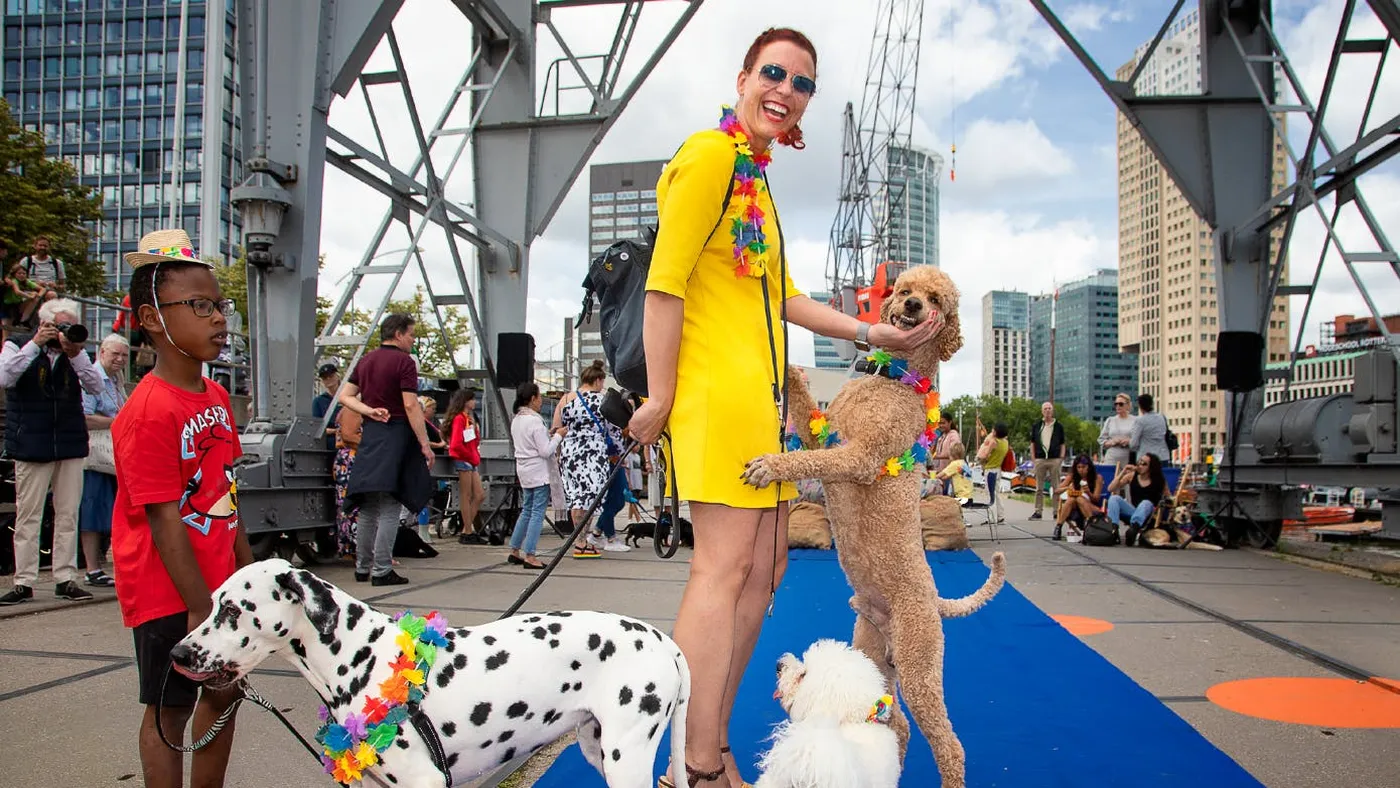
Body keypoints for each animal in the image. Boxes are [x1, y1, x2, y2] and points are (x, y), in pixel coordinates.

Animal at [168, 559, 688, 788]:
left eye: (233, 610)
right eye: (213, 603)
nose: (179, 653)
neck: (359, 656)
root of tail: (663, 640)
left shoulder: (425, 783)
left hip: (626, 760)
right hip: (596, 748)